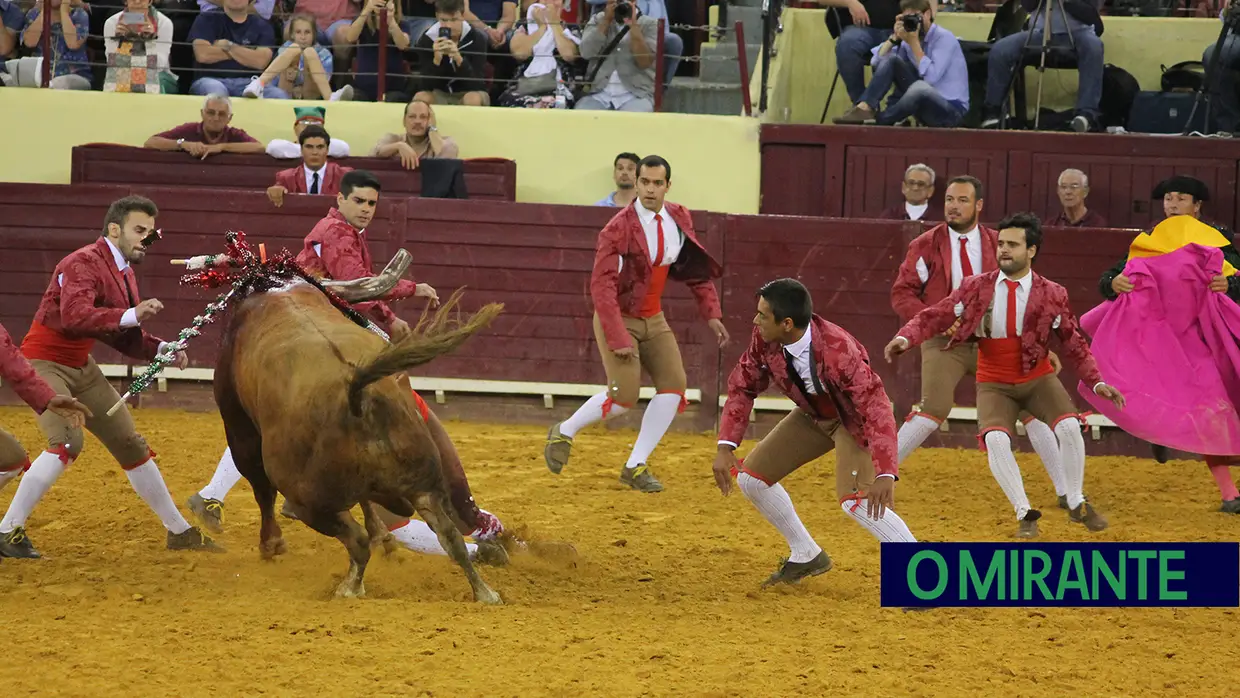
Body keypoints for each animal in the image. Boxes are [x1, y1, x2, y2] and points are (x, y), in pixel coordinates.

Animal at [213, 252, 503, 607]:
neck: (276, 289)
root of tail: (359, 395)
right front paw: (384, 537)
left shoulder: (240, 429)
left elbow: (260, 488)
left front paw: (271, 546)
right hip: (424, 485)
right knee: (450, 538)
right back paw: (485, 591)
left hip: (313, 503)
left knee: (354, 540)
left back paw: (348, 586)